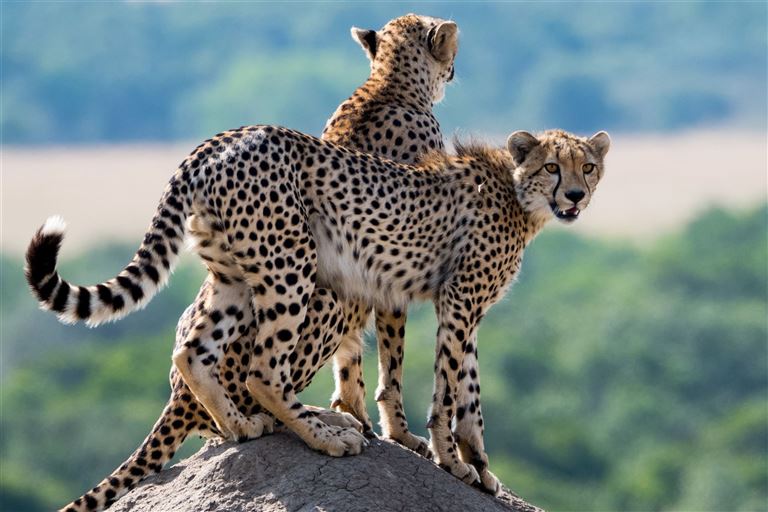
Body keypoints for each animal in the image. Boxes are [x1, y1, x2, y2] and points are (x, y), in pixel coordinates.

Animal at [25, 123, 612, 496]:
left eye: (587, 166)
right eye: (552, 167)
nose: (576, 196)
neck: (517, 195)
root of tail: (218, 140)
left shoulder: (466, 311)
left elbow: (470, 392)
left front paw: (481, 469)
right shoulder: (458, 303)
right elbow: (450, 394)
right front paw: (452, 460)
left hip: (233, 275)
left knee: (193, 352)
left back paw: (244, 427)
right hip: (294, 266)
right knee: (263, 370)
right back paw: (325, 435)